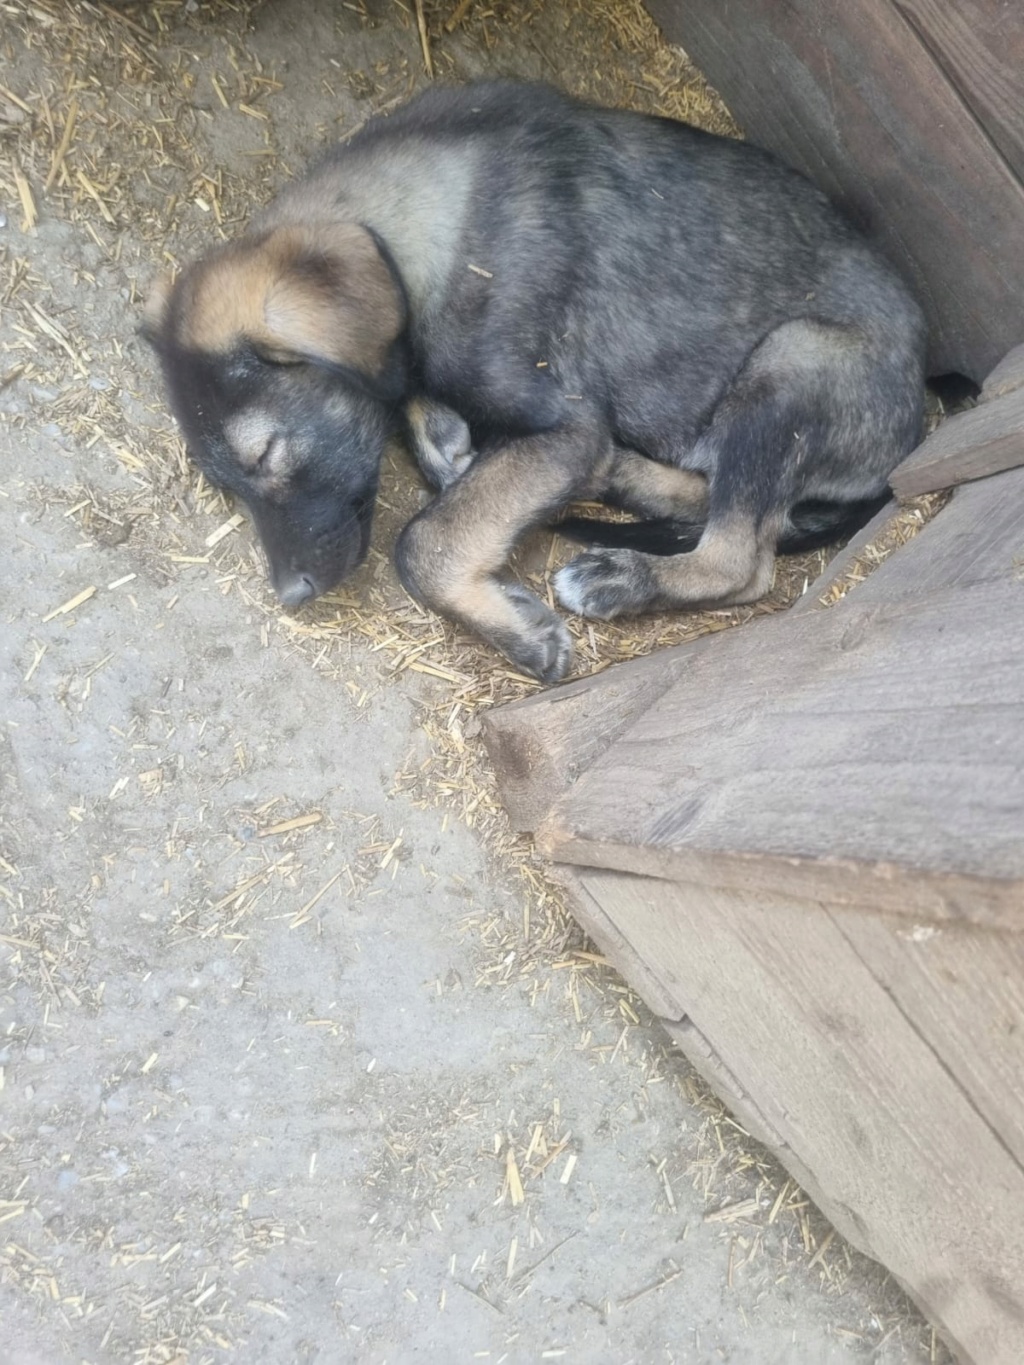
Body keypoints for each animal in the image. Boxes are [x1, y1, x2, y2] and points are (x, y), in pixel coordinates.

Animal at [140, 81, 928, 682]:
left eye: (267, 455)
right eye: (229, 486)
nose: (291, 594)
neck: (427, 228)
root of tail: (916, 421)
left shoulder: (563, 425)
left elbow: (426, 541)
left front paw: (518, 631)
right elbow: (416, 409)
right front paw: (446, 439)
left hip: (791, 360)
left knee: (742, 559)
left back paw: (620, 576)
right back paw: (615, 478)